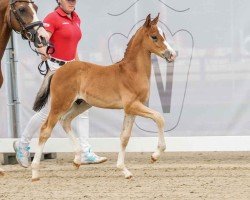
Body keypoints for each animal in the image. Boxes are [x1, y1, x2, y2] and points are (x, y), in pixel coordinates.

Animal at [30, 13, 176, 180]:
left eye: (164, 35)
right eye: (154, 36)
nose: (172, 55)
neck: (132, 72)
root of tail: (57, 71)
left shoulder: (131, 110)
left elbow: (125, 137)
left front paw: (124, 170)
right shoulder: (132, 105)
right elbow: (159, 118)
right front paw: (155, 156)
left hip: (81, 104)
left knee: (65, 121)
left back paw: (77, 160)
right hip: (60, 103)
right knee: (45, 129)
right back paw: (35, 172)